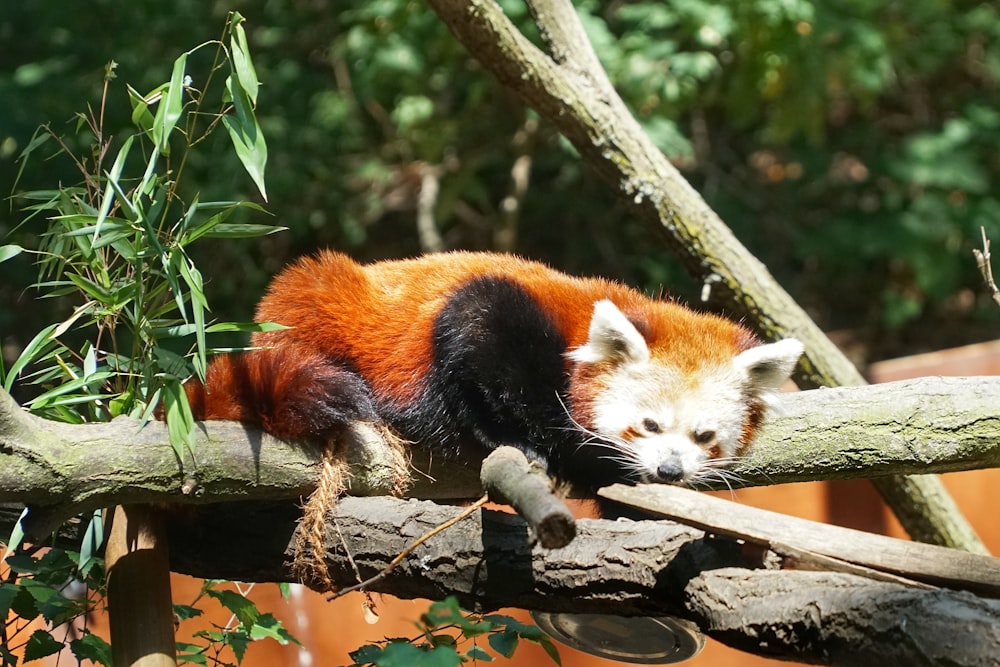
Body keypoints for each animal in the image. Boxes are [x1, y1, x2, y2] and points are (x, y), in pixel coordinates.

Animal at [188, 253, 804, 494]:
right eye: (648, 425)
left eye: (704, 436)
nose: (670, 470)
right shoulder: (499, 317)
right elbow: (479, 346)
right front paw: (525, 441)